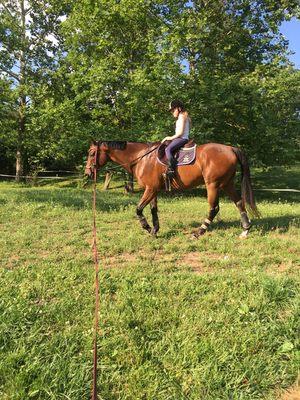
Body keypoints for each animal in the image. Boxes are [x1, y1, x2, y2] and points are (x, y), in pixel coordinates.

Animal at [85, 141, 258, 238]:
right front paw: (154, 230)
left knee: (214, 208)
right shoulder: (153, 190)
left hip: (213, 185)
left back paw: (199, 232)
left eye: (92, 153)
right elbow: (153, 210)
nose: (88, 173)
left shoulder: (150, 189)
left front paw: (147, 227)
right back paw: (245, 230)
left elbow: (139, 209)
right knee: (239, 203)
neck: (142, 157)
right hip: (226, 184)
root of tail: (230, 148)